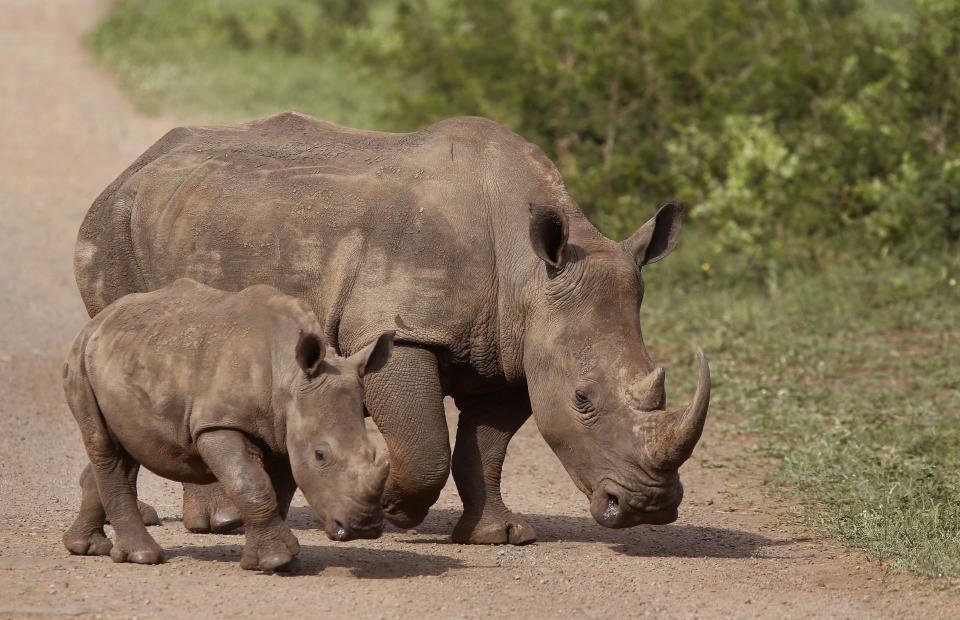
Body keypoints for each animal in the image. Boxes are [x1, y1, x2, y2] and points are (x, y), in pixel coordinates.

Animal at [62, 278, 392, 568]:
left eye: (373, 454)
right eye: (320, 455)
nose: (364, 528)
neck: (289, 376)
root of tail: (99, 321)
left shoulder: (283, 429)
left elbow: (275, 490)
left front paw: (277, 557)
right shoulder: (219, 424)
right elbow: (250, 483)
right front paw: (275, 560)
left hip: (126, 359)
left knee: (128, 445)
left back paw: (84, 547)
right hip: (80, 361)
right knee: (104, 446)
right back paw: (142, 556)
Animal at [75, 111, 708, 544]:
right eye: (583, 399)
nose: (648, 508)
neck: (528, 274)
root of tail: (133, 167)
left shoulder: (514, 351)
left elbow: (486, 448)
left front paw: (498, 536)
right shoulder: (399, 330)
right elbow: (426, 443)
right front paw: (397, 511)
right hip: (114, 228)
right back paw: (221, 521)